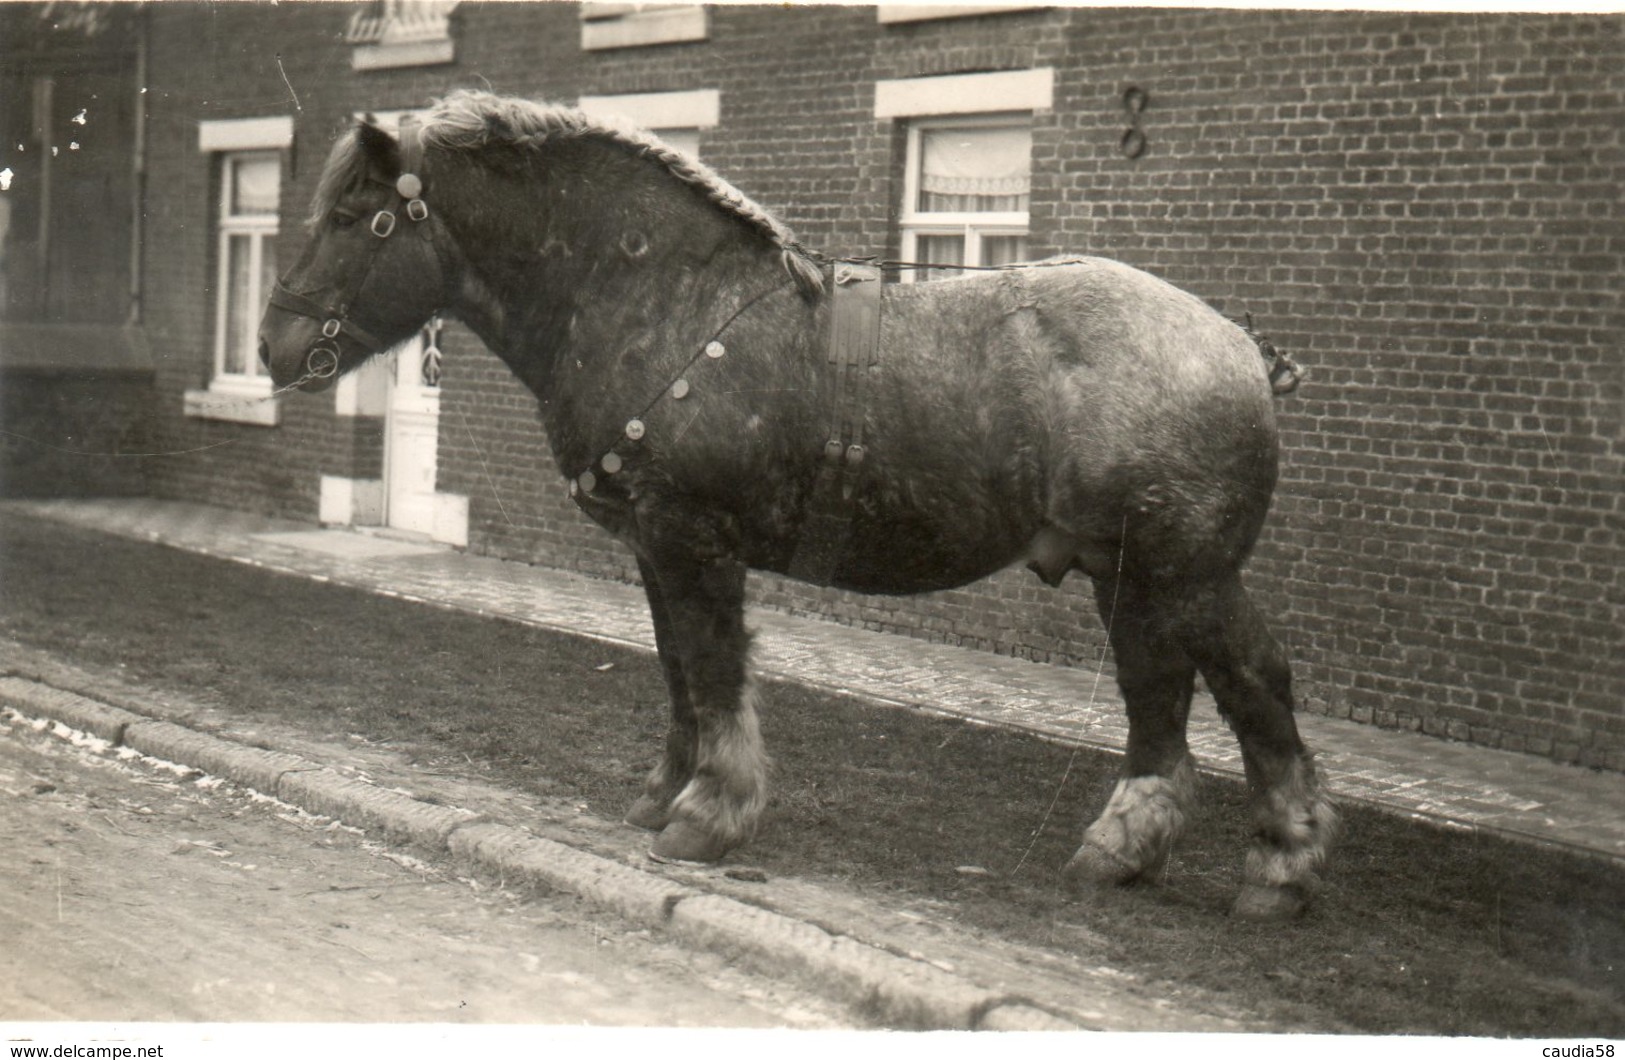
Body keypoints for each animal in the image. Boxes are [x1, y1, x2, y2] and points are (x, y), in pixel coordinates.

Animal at [263, 91, 1332, 916]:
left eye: (357, 215)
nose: (274, 348)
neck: (666, 301)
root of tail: (1238, 346)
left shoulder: (693, 540)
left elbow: (712, 667)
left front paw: (708, 814)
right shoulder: (652, 548)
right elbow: (678, 671)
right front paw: (666, 792)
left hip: (1187, 572)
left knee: (1254, 683)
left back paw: (1281, 866)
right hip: (1126, 573)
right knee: (1158, 696)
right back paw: (1119, 848)